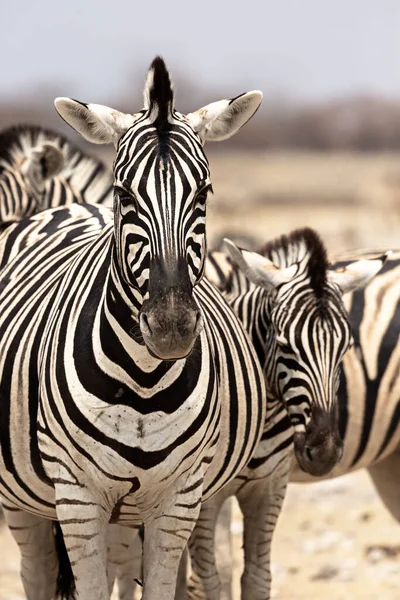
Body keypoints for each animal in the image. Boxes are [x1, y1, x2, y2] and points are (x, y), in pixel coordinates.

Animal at [0, 56, 268, 600]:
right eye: (125, 193)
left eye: (204, 192)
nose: (170, 328)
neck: (143, 380)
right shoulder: (78, 497)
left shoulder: (179, 498)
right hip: (27, 499)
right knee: (36, 572)